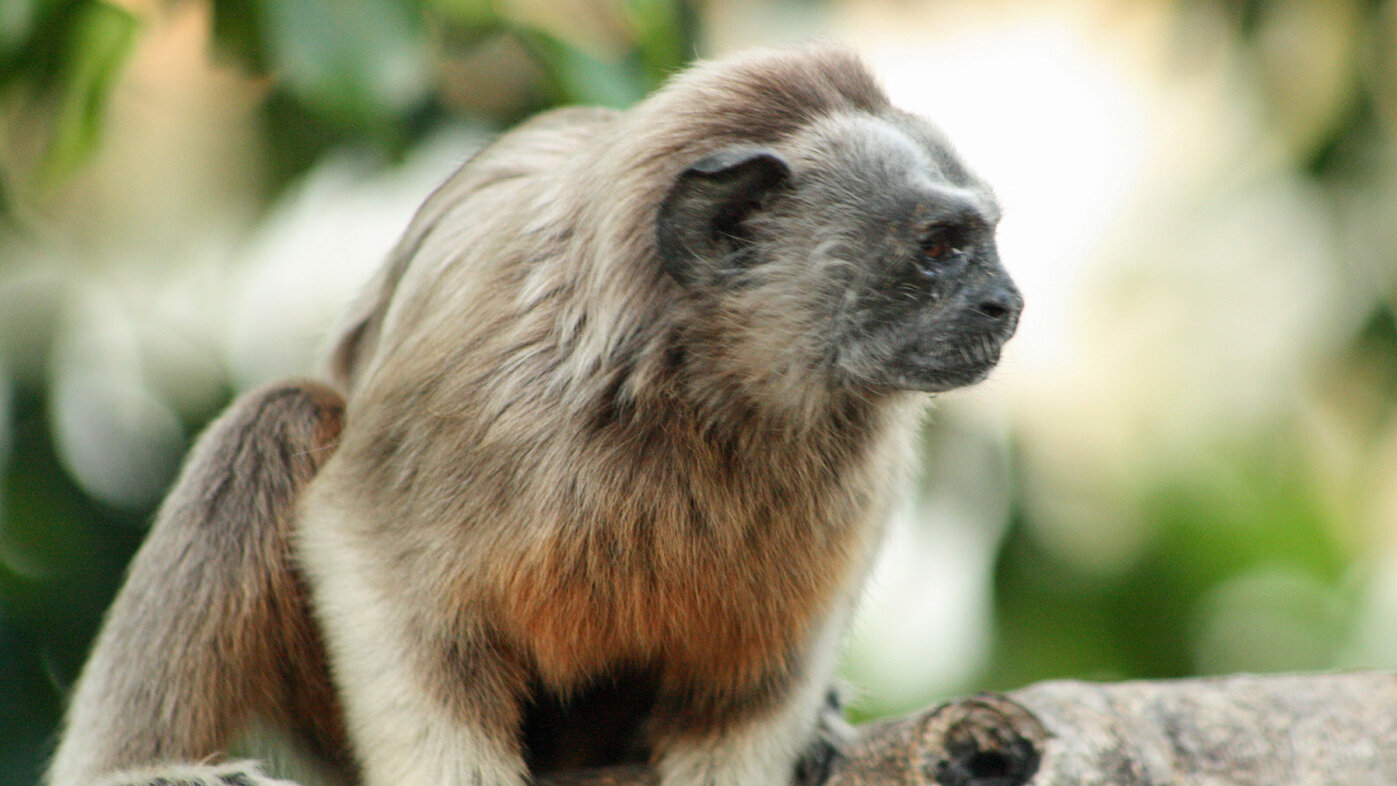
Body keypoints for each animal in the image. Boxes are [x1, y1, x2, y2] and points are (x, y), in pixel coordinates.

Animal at [46, 46, 1028, 786]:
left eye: (982, 243)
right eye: (940, 249)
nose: (1006, 304)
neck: (696, 393)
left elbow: (755, 685)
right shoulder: (476, 395)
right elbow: (372, 571)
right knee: (274, 423)